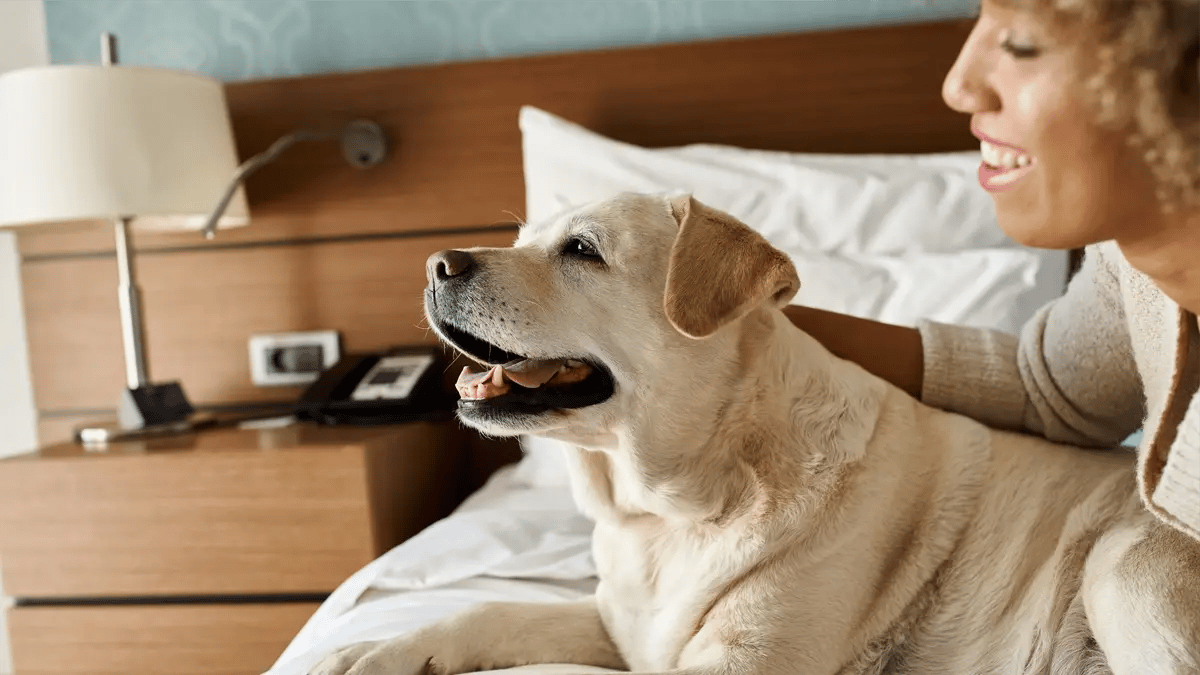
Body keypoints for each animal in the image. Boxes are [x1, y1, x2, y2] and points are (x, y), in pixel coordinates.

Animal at [312, 192, 1200, 672]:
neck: (670, 508)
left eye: (581, 249)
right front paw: (377, 651)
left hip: (1122, 567)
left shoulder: (740, 656)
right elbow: (485, 613)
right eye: (525, 236)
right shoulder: (625, 623)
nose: (437, 263)